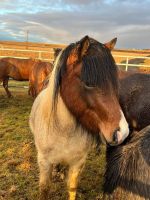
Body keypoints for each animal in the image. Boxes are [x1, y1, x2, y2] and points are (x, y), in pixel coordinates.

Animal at [29, 36, 129, 200]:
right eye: (88, 83)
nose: (122, 132)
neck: (63, 132)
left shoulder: (77, 163)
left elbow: (72, 189)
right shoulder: (44, 163)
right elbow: (45, 190)